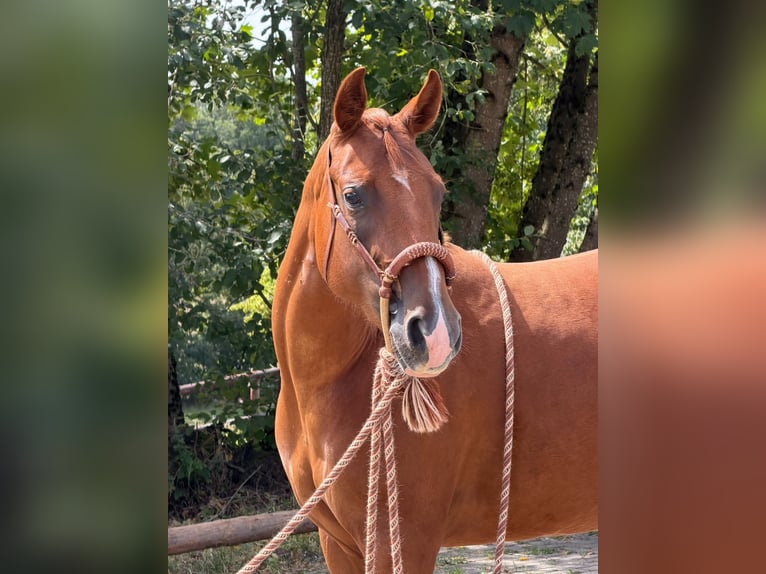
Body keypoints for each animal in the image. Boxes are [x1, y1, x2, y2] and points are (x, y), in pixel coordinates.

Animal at [272, 67, 598, 573]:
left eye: (439, 192)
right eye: (353, 195)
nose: (436, 333)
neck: (329, 382)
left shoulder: (403, 541)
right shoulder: (338, 543)